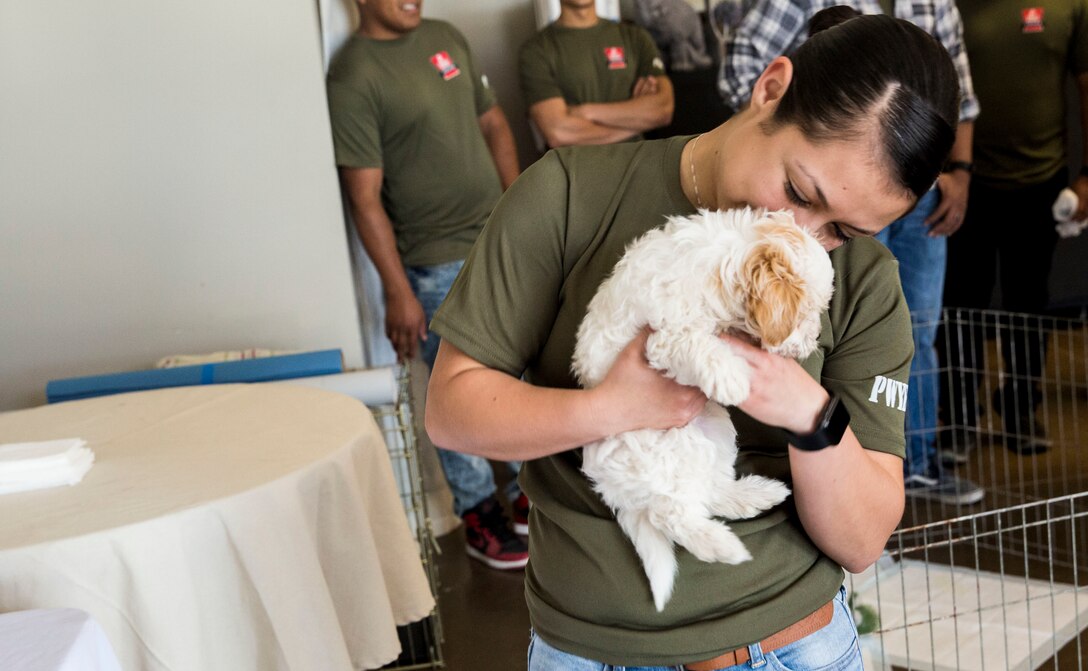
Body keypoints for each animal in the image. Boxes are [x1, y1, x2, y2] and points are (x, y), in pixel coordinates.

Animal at [574, 206, 835, 609]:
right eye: (808, 311)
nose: (816, 337)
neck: (723, 261)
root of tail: (615, 489)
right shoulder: (664, 338)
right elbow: (699, 345)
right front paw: (731, 377)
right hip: (661, 457)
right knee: (672, 514)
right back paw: (723, 546)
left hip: (714, 430)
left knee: (710, 492)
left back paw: (759, 495)